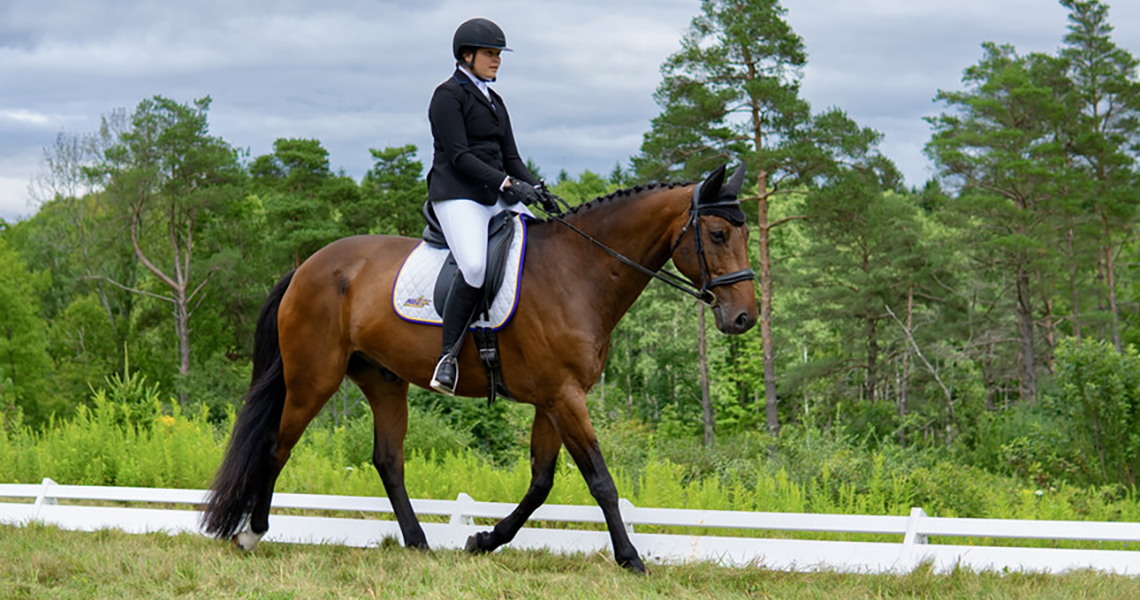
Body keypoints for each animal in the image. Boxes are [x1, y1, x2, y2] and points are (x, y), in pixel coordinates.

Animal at [201, 164, 758, 572]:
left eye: (745, 233)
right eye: (716, 233)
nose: (744, 318)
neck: (578, 272)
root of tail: (306, 267)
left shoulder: (551, 399)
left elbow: (541, 482)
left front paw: (484, 540)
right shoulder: (564, 396)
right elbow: (600, 479)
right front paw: (631, 559)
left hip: (383, 381)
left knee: (388, 460)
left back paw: (419, 543)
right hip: (313, 378)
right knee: (277, 445)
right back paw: (251, 534)